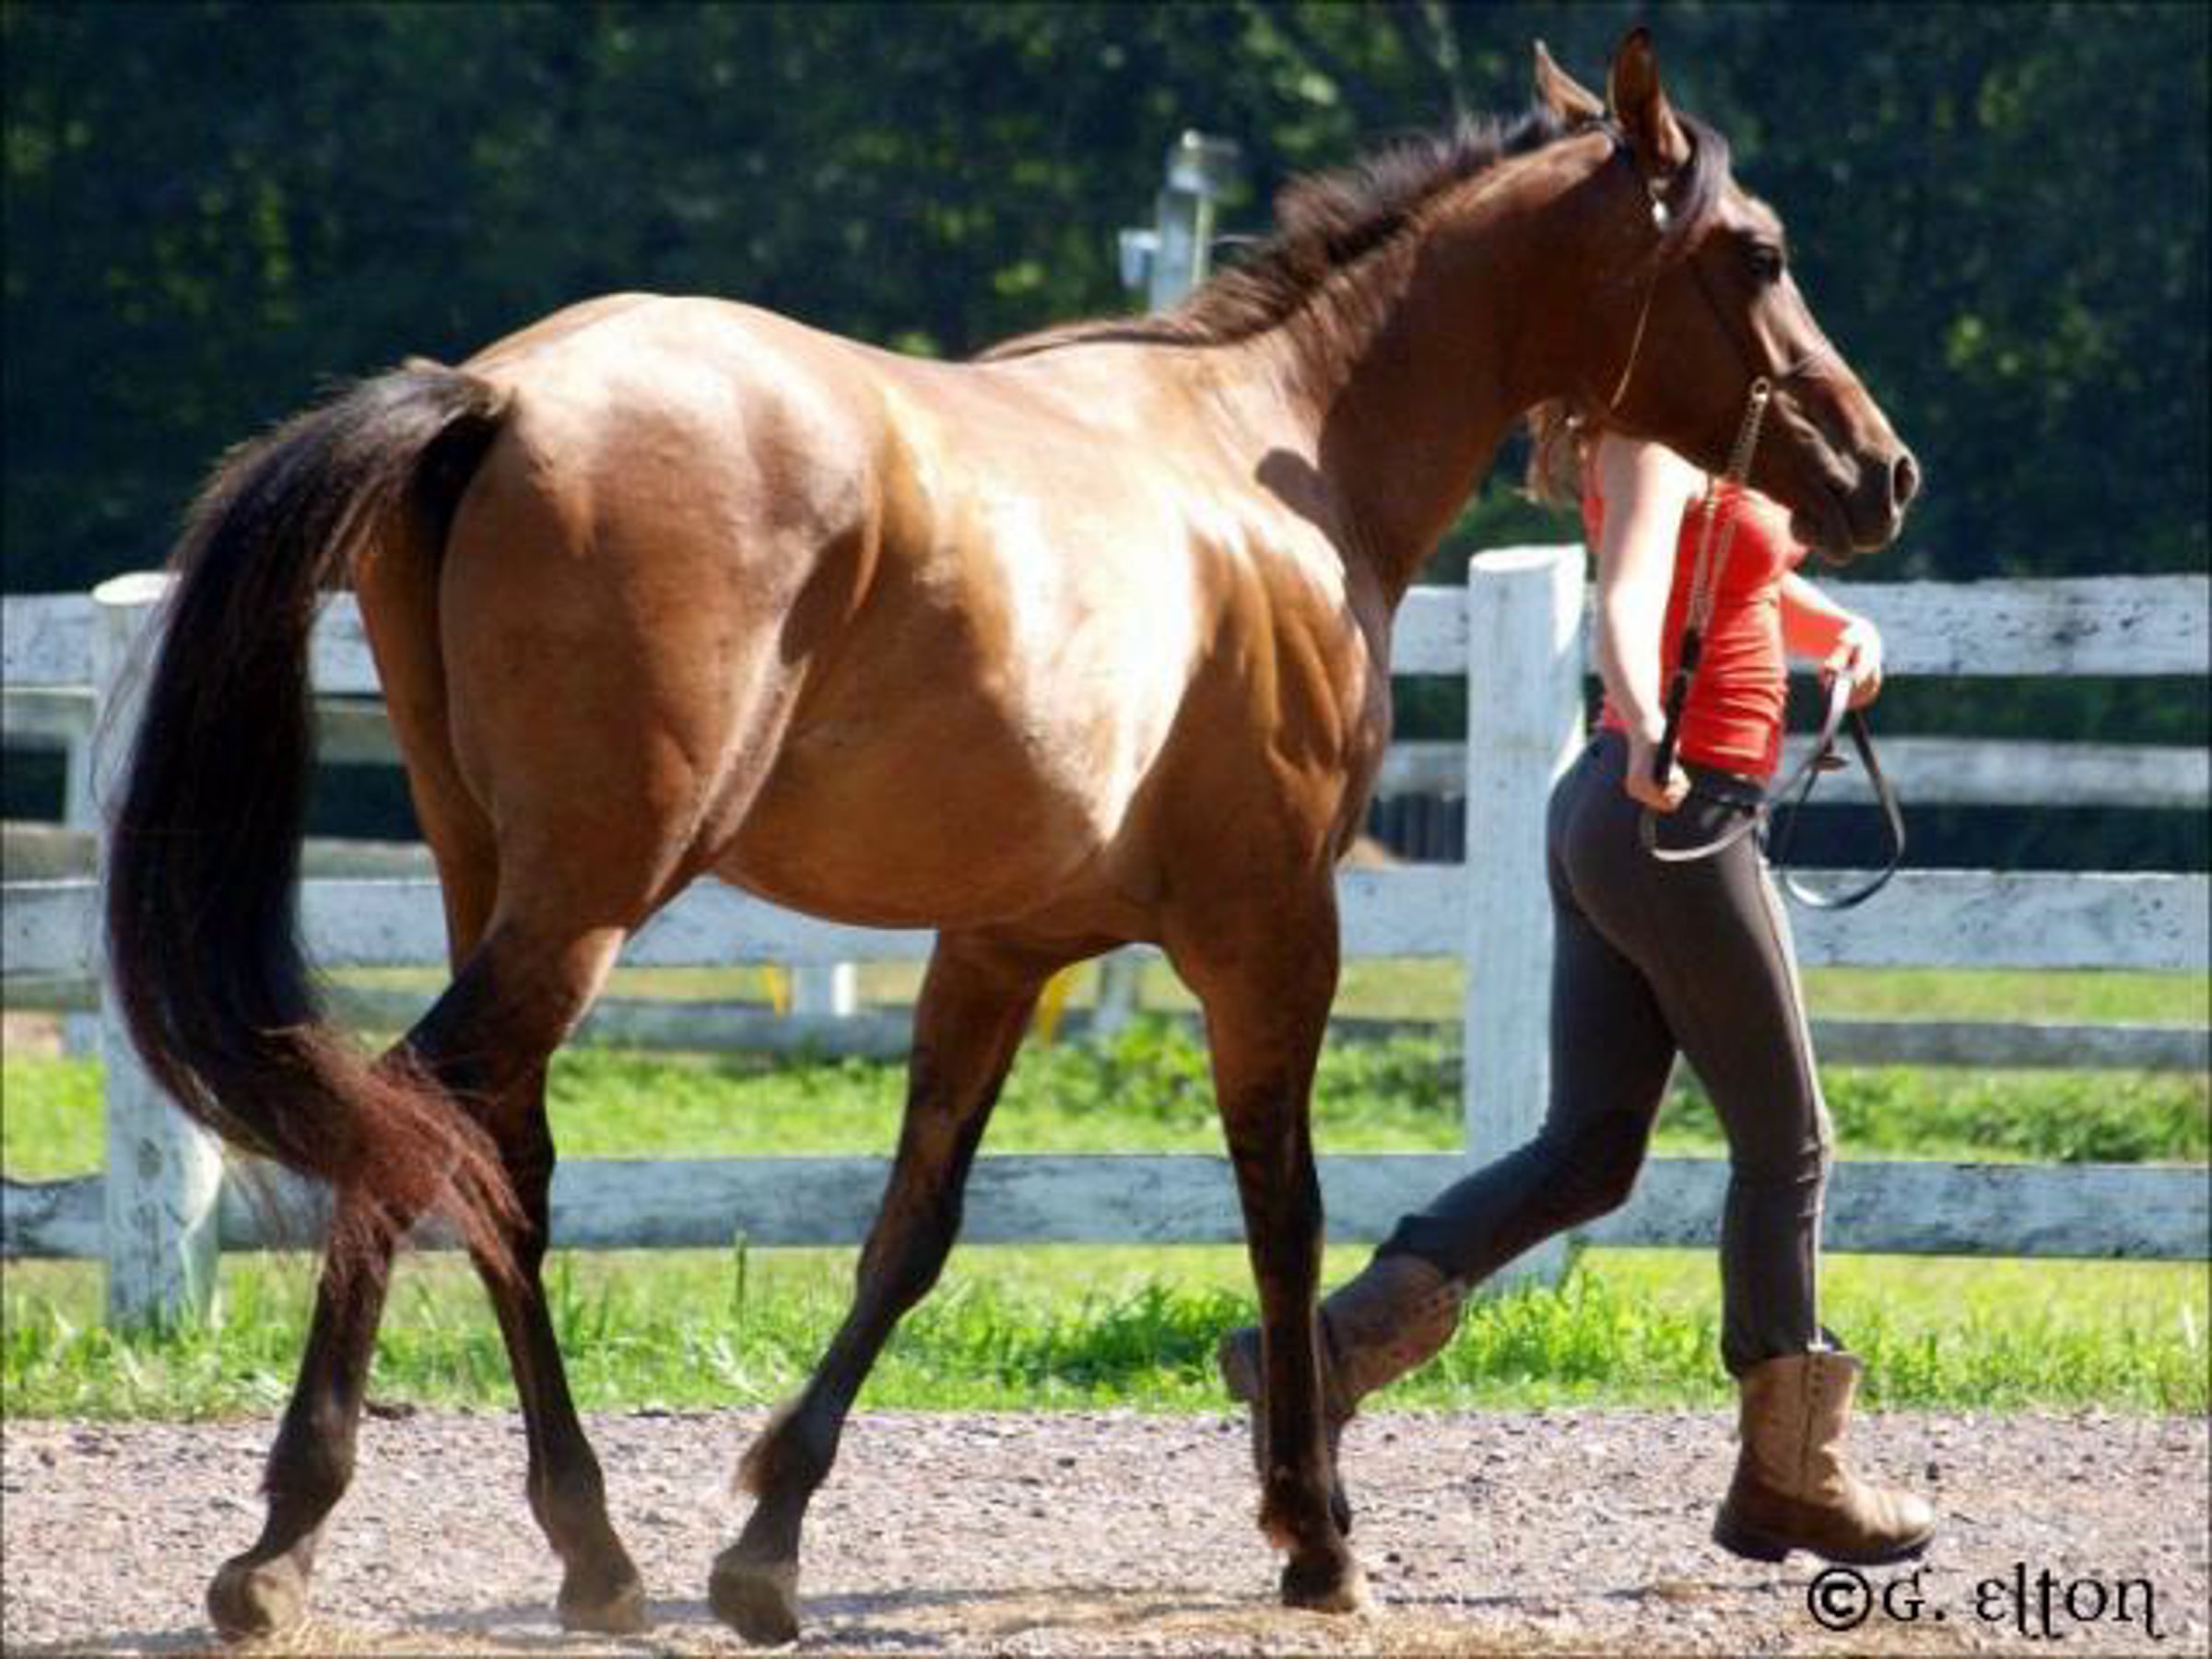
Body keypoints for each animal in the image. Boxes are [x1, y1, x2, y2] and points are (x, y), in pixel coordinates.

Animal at [105, 28, 1916, 1645]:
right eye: (1757, 253)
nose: (1879, 469)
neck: (1273, 458)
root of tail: (495, 397)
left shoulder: (1002, 944)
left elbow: (912, 1231)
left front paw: (768, 1541)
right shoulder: (1271, 932)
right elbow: (1284, 1212)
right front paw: (1316, 1535)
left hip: (504, 884)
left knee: (496, 1162)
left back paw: (594, 1551)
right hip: (590, 898)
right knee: (408, 1112)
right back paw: (284, 1545)